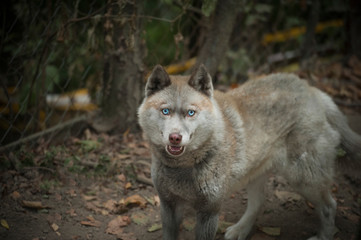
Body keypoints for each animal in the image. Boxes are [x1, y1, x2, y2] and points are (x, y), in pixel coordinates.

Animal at [137, 64, 360, 240]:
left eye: (191, 113)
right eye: (165, 111)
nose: (175, 137)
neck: (183, 168)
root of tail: (312, 90)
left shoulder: (209, 211)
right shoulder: (168, 206)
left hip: (303, 179)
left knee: (330, 206)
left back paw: (323, 236)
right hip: (258, 176)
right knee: (259, 203)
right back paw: (240, 230)